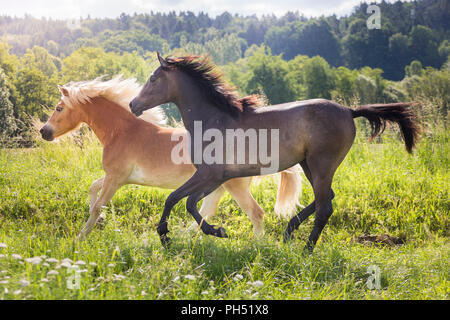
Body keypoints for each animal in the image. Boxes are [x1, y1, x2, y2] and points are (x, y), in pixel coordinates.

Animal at [40, 77, 304, 240]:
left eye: (59, 108)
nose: (44, 132)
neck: (123, 132)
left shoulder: (116, 178)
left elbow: (97, 206)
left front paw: (80, 238)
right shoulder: (116, 177)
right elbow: (93, 189)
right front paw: (100, 222)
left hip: (233, 186)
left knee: (255, 213)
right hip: (219, 186)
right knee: (206, 210)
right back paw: (188, 236)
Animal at [130, 53, 422, 252]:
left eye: (153, 78)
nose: (133, 104)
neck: (215, 119)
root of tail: (349, 111)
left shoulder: (209, 175)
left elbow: (177, 200)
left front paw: (174, 235)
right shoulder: (215, 177)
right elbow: (186, 202)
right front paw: (209, 232)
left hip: (322, 164)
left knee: (325, 207)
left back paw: (306, 249)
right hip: (308, 165)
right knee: (326, 197)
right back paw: (289, 232)